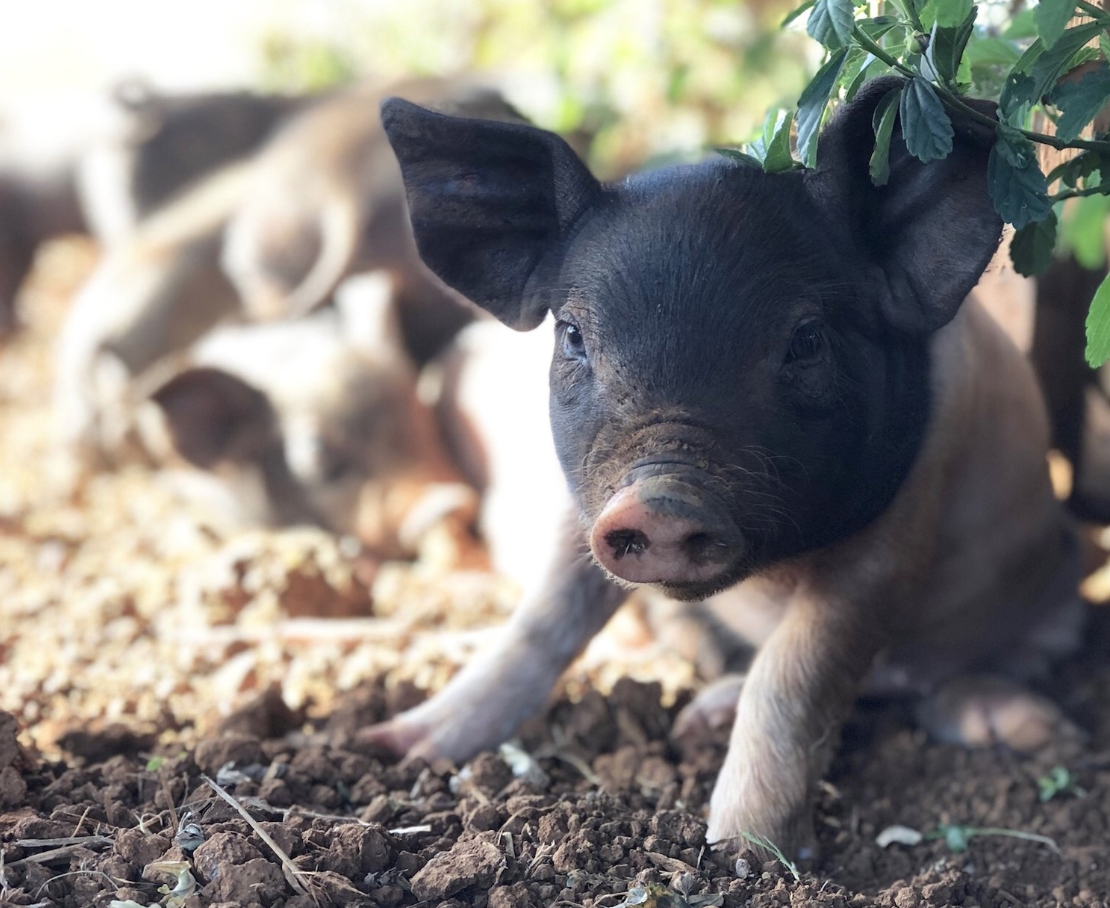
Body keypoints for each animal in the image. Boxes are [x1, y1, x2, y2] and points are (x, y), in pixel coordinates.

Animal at [362, 76, 1085, 858]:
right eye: (574, 336)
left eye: (806, 339)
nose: (660, 500)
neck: (774, 572)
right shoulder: (584, 515)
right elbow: (544, 617)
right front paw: (395, 746)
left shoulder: (899, 532)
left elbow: (799, 669)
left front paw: (744, 849)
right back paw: (700, 716)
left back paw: (1029, 728)